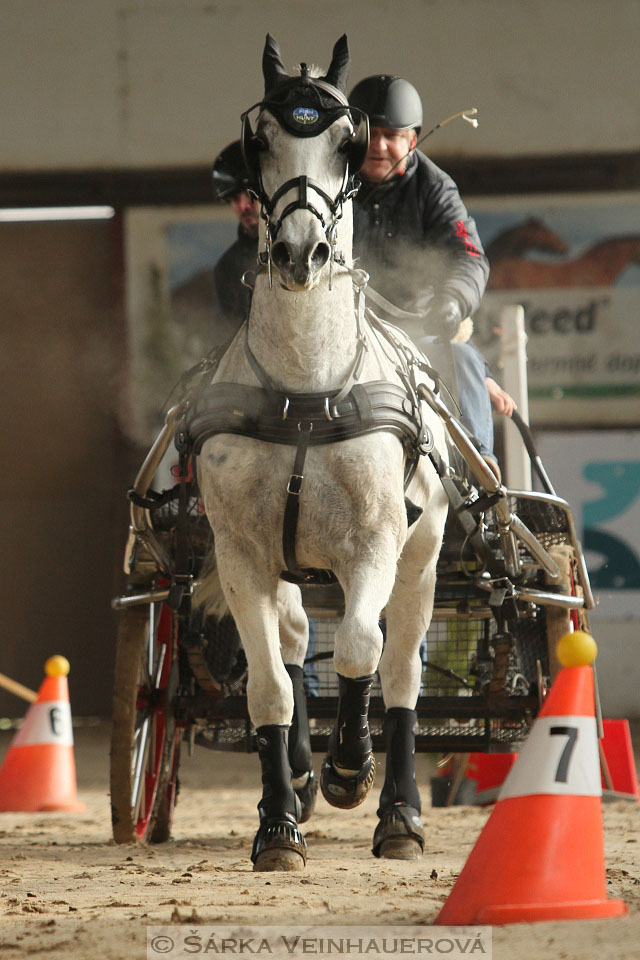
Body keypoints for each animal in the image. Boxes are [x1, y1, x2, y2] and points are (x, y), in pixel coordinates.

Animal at [192, 35, 448, 872]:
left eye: (346, 141)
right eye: (260, 139)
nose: (301, 253)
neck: (307, 388)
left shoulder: (373, 543)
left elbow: (362, 651)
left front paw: (350, 769)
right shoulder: (242, 554)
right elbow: (271, 687)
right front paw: (278, 823)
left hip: (422, 556)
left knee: (398, 668)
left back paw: (395, 809)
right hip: (287, 566)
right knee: (299, 641)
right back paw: (305, 771)